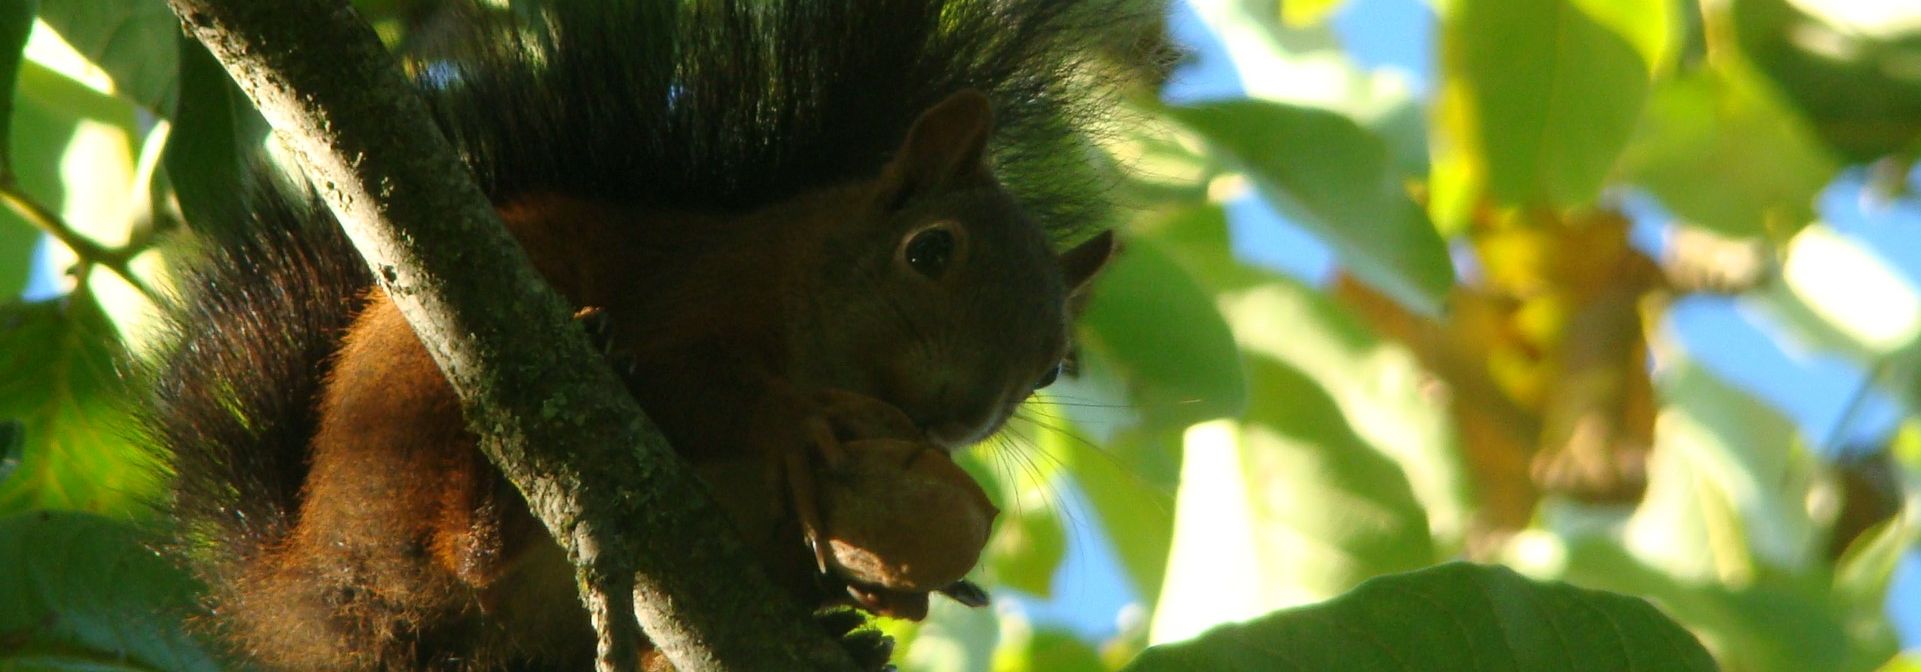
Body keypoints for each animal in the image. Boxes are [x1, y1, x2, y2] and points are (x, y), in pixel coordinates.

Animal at [139, 0, 1152, 668]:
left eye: (1052, 367)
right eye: (929, 250)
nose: (962, 416)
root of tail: (303, 599)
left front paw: (886, 588)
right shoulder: (698, 290)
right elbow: (679, 377)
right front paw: (790, 421)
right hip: (408, 411)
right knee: (446, 545)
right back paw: (497, 509)